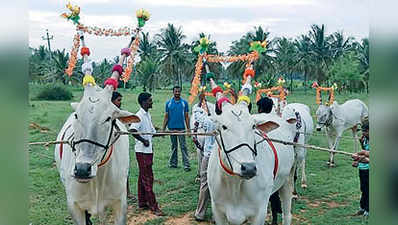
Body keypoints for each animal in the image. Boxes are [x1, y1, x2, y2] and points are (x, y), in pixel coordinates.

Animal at [208, 91, 296, 223]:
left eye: (253, 126)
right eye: (224, 127)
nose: (248, 168)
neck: (234, 183)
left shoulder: (259, 213)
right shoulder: (218, 211)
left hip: (287, 179)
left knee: (287, 215)